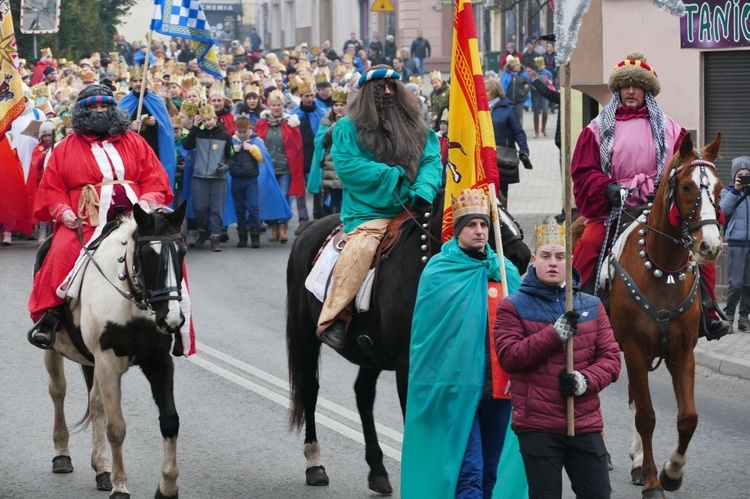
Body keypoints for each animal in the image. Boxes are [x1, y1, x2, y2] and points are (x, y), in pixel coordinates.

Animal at [35, 204, 188, 499]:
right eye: (148, 254)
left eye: (182, 252)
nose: (172, 318)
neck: (131, 300)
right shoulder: (107, 361)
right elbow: (116, 427)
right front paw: (120, 486)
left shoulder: (158, 361)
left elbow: (170, 421)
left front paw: (167, 486)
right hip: (54, 349)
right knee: (58, 391)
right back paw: (62, 454)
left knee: (95, 403)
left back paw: (102, 468)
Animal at [284, 191, 532, 496]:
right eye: (485, 214)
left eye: (502, 205)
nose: (523, 255)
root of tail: (308, 230)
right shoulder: (407, 365)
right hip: (305, 336)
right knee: (310, 388)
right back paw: (315, 464)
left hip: (370, 353)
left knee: (363, 394)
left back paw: (378, 471)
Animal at [576, 134, 728, 499]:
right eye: (686, 187)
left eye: (719, 187)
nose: (710, 246)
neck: (663, 269)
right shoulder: (634, 348)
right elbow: (646, 416)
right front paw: (652, 481)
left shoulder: (681, 351)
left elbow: (688, 417)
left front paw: (671, 472)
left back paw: (634, 463)